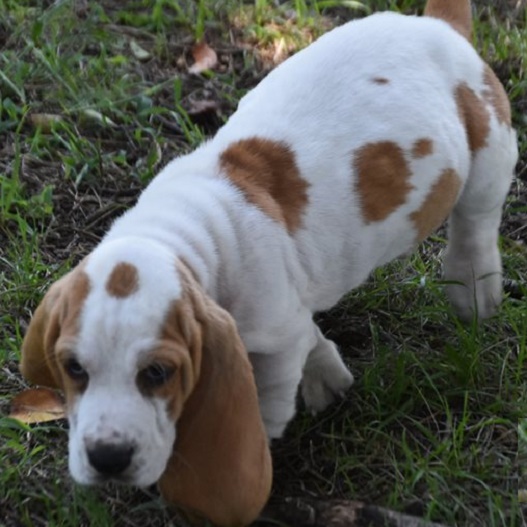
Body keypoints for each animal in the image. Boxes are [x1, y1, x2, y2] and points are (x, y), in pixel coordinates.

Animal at [18, 0, 516, 524]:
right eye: (73, 368)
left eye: (158, 374)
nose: (107, 458)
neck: (187, 233)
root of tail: (437, 25)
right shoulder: (288, 316)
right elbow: (310, 337)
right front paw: (329, 378)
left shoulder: (274, 341)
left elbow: (266, 400)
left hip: (489, 152)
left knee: (477, 220)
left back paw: (473, 288)